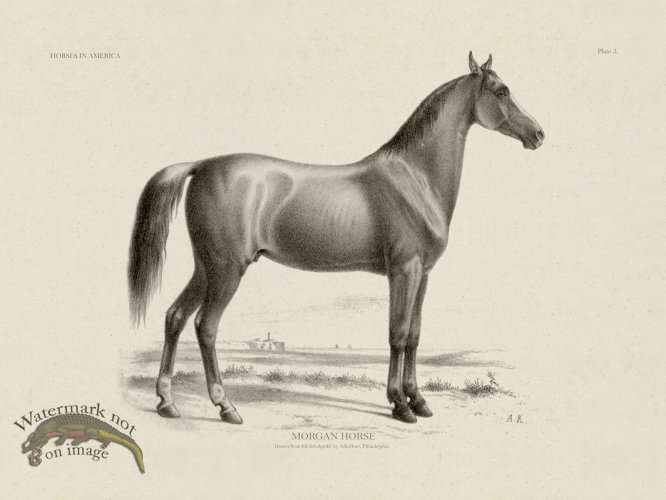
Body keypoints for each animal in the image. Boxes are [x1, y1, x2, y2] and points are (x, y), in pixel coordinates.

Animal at [128, 52, 544, 424]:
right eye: (502, 90)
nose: (538, 134)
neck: (415, 177)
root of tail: (201, 165)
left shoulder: (422, 275)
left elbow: (414, 335)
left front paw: (419, 400)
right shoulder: (404, 270)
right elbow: (397, 334)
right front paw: (401, 405)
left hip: (207, 267)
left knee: (175, 317)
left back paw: (167, 402)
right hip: (227, 269)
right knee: (206, 326)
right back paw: (225, 406)